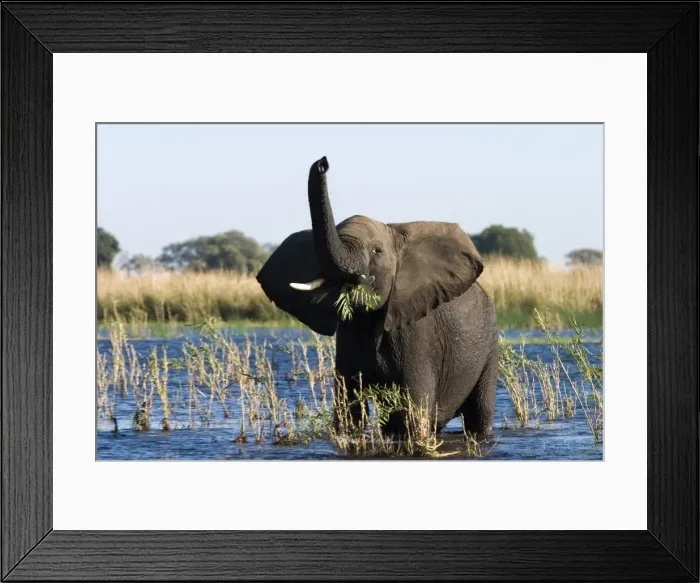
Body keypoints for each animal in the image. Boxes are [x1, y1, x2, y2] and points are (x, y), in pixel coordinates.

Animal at [256, 156, 499, 435]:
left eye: (377, 251)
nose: (322, 162)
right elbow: (348, 412)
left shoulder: (419, 333)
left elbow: (414, 413)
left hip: (490, 345)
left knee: (479, 414)